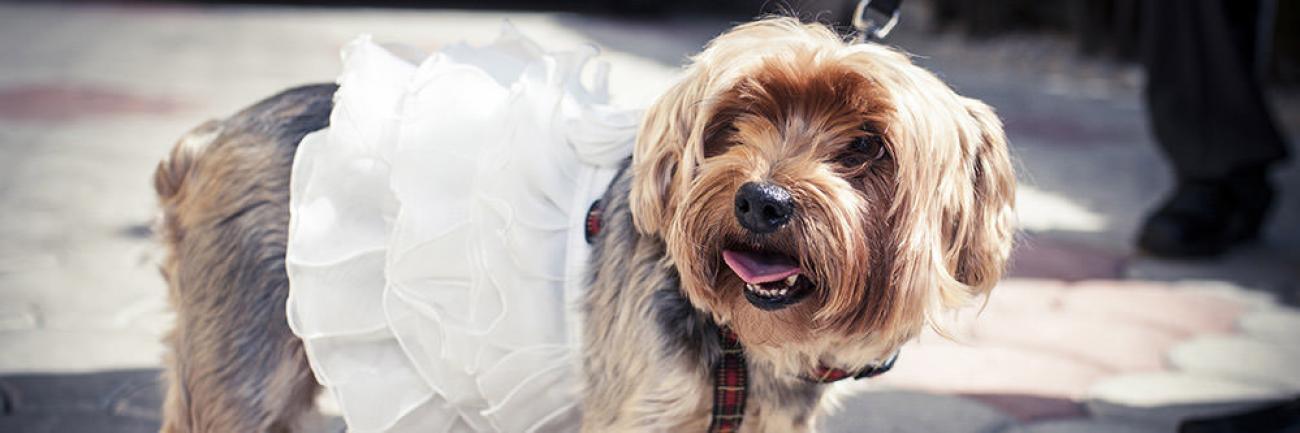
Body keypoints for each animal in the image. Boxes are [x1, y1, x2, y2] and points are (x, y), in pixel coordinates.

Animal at [154, 17, 1013, 431]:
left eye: (867, 146)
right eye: (734, 123)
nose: (762, 202)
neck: (746, 341)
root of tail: (211, 138)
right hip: (247, 365)